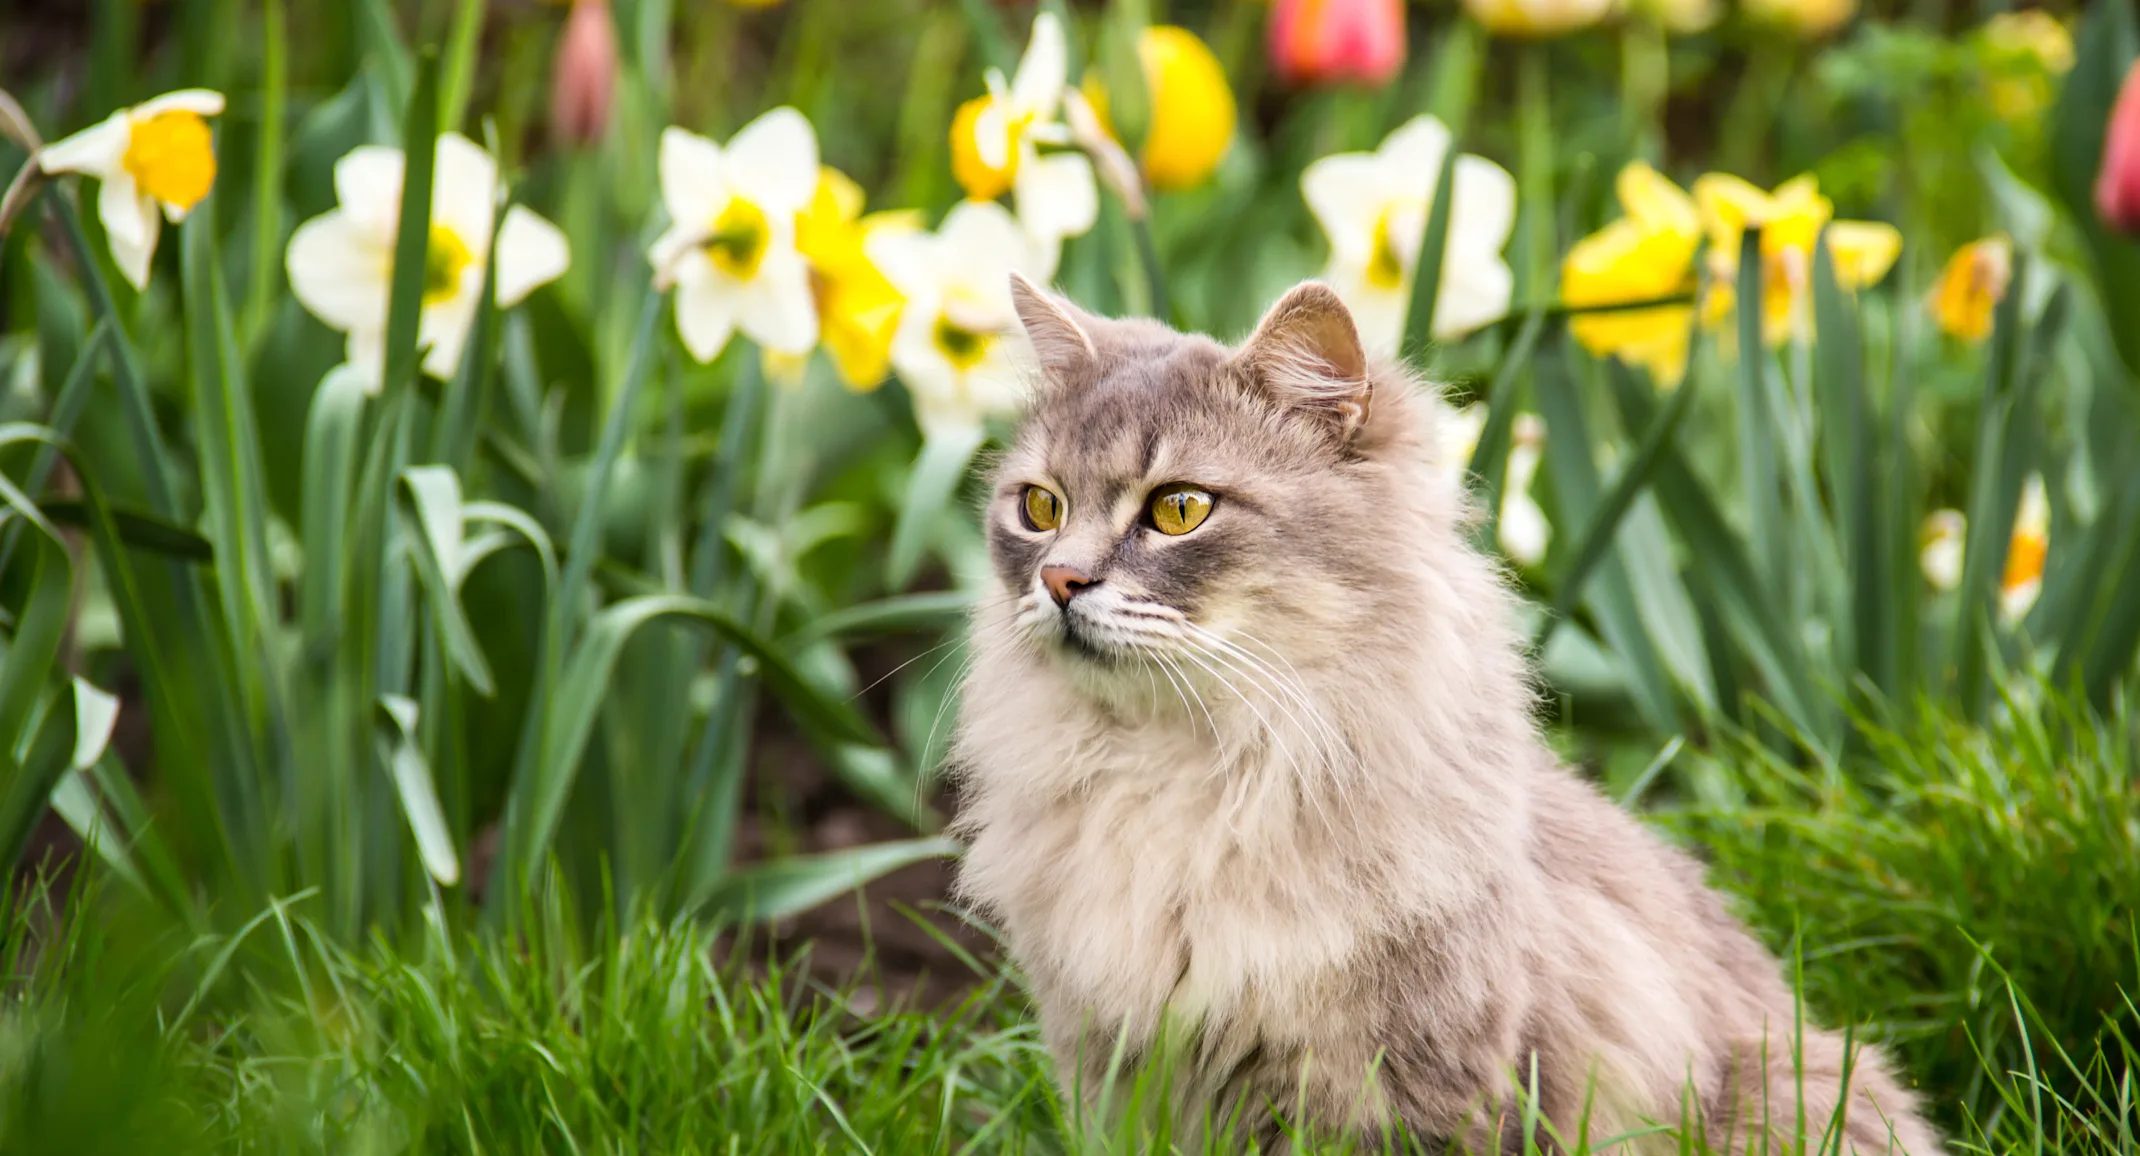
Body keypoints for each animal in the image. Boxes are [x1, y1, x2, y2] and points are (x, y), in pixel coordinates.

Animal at [945, 272, 1951, 1156]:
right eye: (1040, 507)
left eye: (1179, 509)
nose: (1058, 580)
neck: (1177, 774)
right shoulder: (1114, 1071)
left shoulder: (1416, 1084)